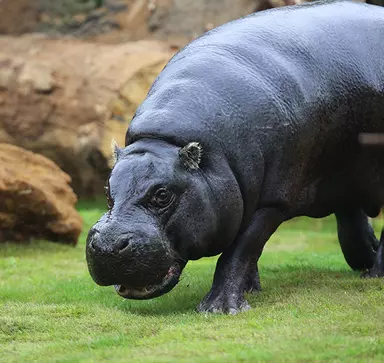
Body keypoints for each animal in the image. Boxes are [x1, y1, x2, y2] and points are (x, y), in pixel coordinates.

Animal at [86, 0, 384, 314]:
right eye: (107, 190)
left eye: (163, 195)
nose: (107, 244)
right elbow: (249, 255)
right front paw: (251, 290)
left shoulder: (270, 202)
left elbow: (240, 251)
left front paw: (218, 309)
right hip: (344, 175)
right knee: (351, 218)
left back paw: (374, 276)